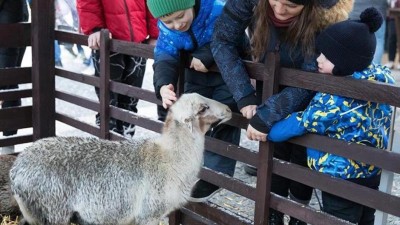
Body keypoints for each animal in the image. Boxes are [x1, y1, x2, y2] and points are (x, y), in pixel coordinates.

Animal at [10, 93, 231, 225]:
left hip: (35, 212)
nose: (229, 109)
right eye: (202, 108)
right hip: (52, 209)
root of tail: (16, 170)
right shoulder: (149, 214)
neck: (169, 158)